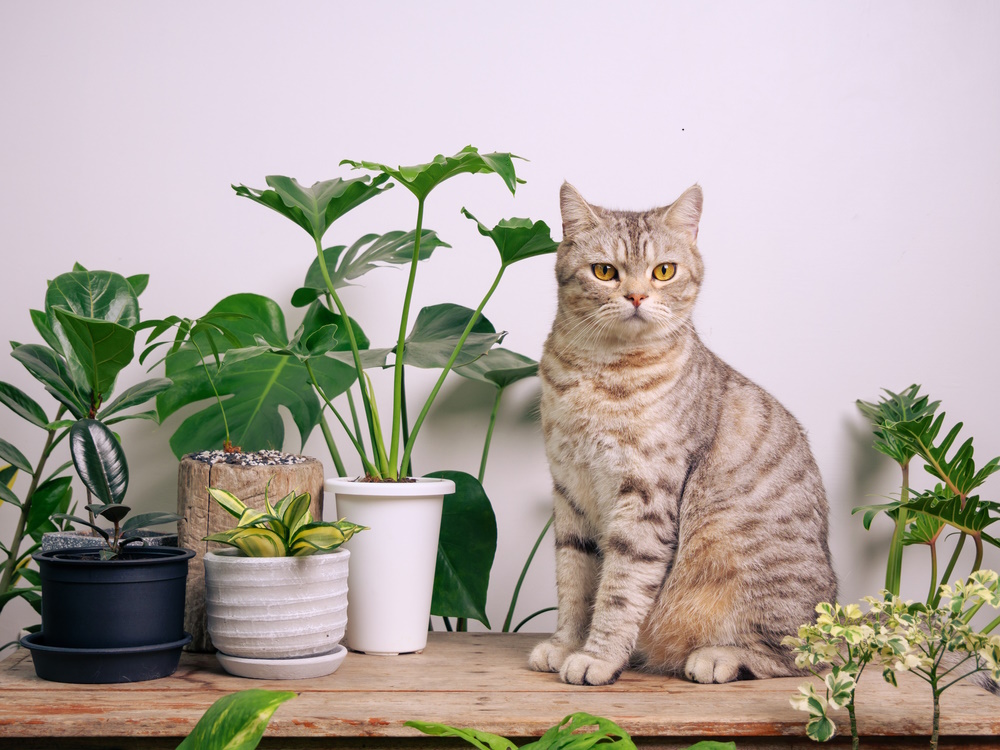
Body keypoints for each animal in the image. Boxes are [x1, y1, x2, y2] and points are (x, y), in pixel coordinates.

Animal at [532, 184, 836, 688]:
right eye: (604, 271)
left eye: (664, 271)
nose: (636, 295)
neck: (598, 372)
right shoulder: (570, 491)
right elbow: (575, 582)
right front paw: (566, 644)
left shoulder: (645, 495)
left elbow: (619, 590)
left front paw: (597, 657)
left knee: (799, 657)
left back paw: (717, 657)